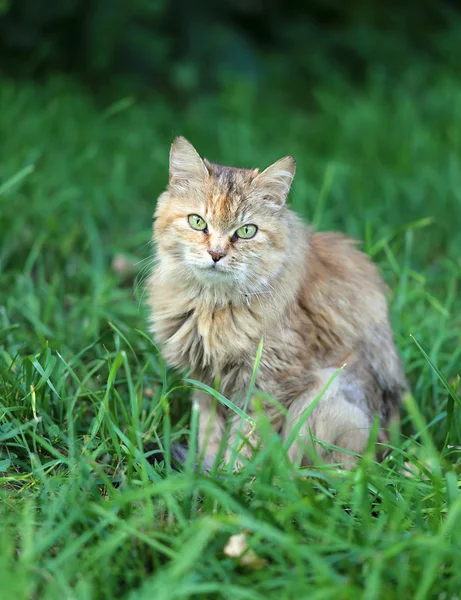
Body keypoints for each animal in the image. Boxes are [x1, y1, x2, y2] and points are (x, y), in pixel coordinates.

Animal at [147, 138, 406, 472]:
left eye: (246, 231)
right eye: (197, 222)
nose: (216, 254)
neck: (212, 305)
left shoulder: (267, 383)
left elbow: (245, 440)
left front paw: (232, 478)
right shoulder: (204, 381)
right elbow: (209, 434)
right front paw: (207, 470)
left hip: (325, 397)